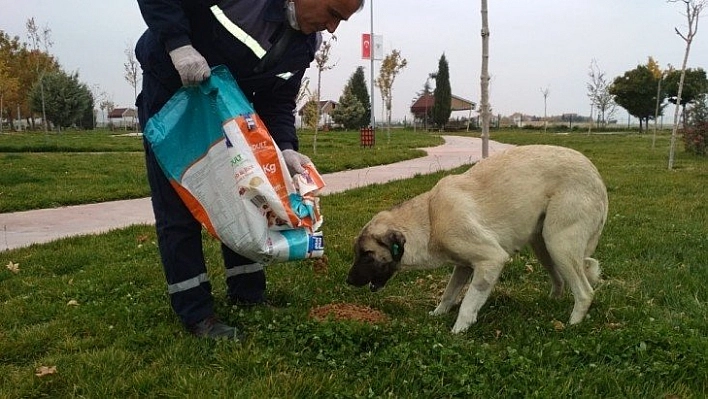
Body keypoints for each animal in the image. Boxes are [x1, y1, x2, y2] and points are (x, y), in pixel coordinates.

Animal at [346, 145, 604, 332]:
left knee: (585, 292)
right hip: (543, 246)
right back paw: (549, 305)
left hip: (558, 244)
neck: (429, 219)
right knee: (559, 280)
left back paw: (571, 326)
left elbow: (468, 303)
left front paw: (458, 331)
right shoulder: (462, 266)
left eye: (366, 255)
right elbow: (449, 294)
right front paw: (438, 314)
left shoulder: (490, 260)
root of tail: (597, 177)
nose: (348, 281)